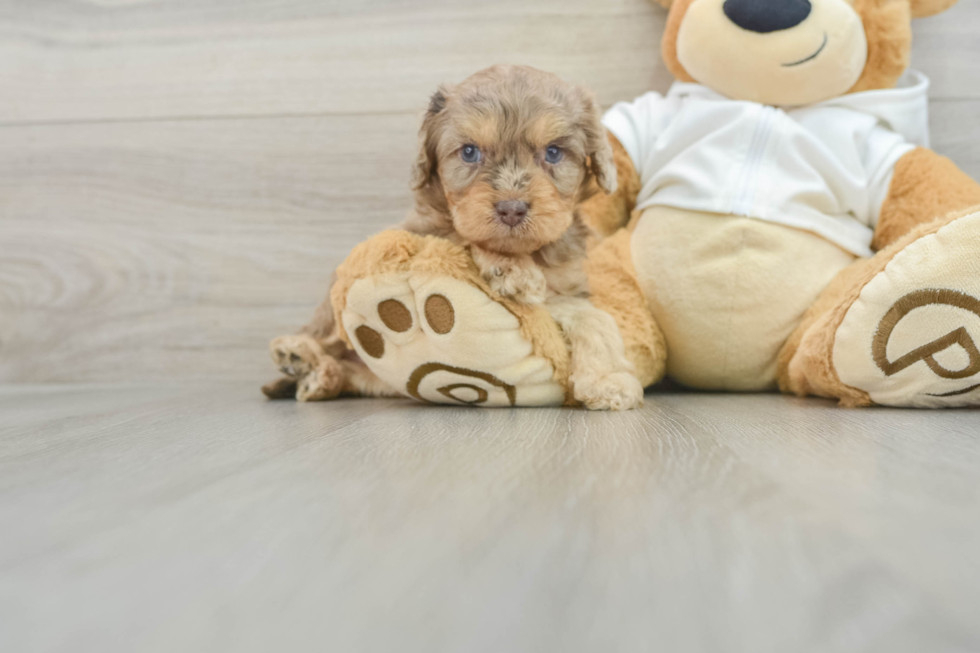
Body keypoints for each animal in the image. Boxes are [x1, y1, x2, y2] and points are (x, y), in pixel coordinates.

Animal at [264, 62, 644, 408]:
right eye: (469, 152)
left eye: (553, 152)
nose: (511, 208)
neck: (530, 251)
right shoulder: (429, 229)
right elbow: (464, 234)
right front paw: (513, 270)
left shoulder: (568, 290)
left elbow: (594, 318)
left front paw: (608, 381)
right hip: (333, 306)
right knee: (324, 334)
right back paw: (298, 354)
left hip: (379, 380)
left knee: (357, 376)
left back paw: (321, 378)